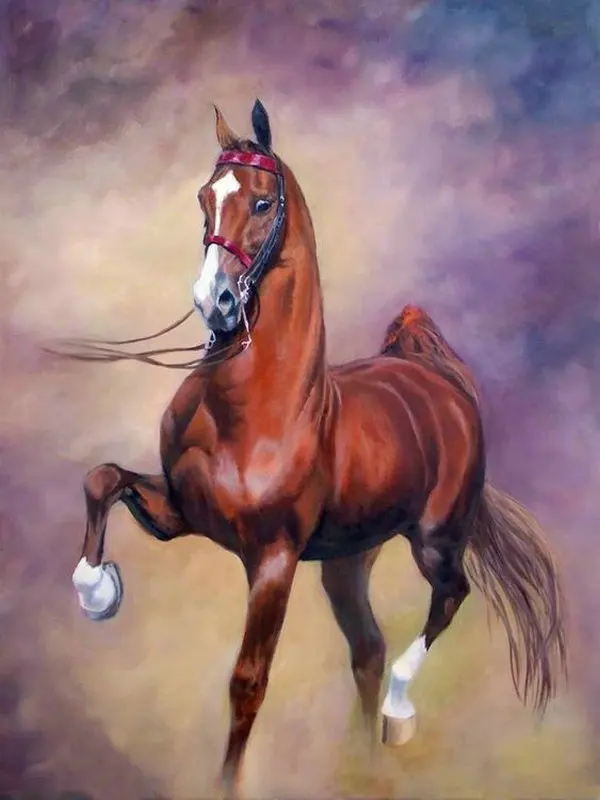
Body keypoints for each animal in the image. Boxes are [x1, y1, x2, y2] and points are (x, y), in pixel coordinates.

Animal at [50, 100, 567, 798]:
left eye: (264, 202)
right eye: (204, 198)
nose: (212, 302)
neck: (254, 407)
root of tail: (431, 378)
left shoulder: (273, 558)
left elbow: (248, 682)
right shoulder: (177, 514)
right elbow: (102, 478)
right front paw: (96, 590)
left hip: (435, 538)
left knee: (449, 598)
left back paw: (398, 716)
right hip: (348, 560)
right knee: (368, 649)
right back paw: (364, 765)